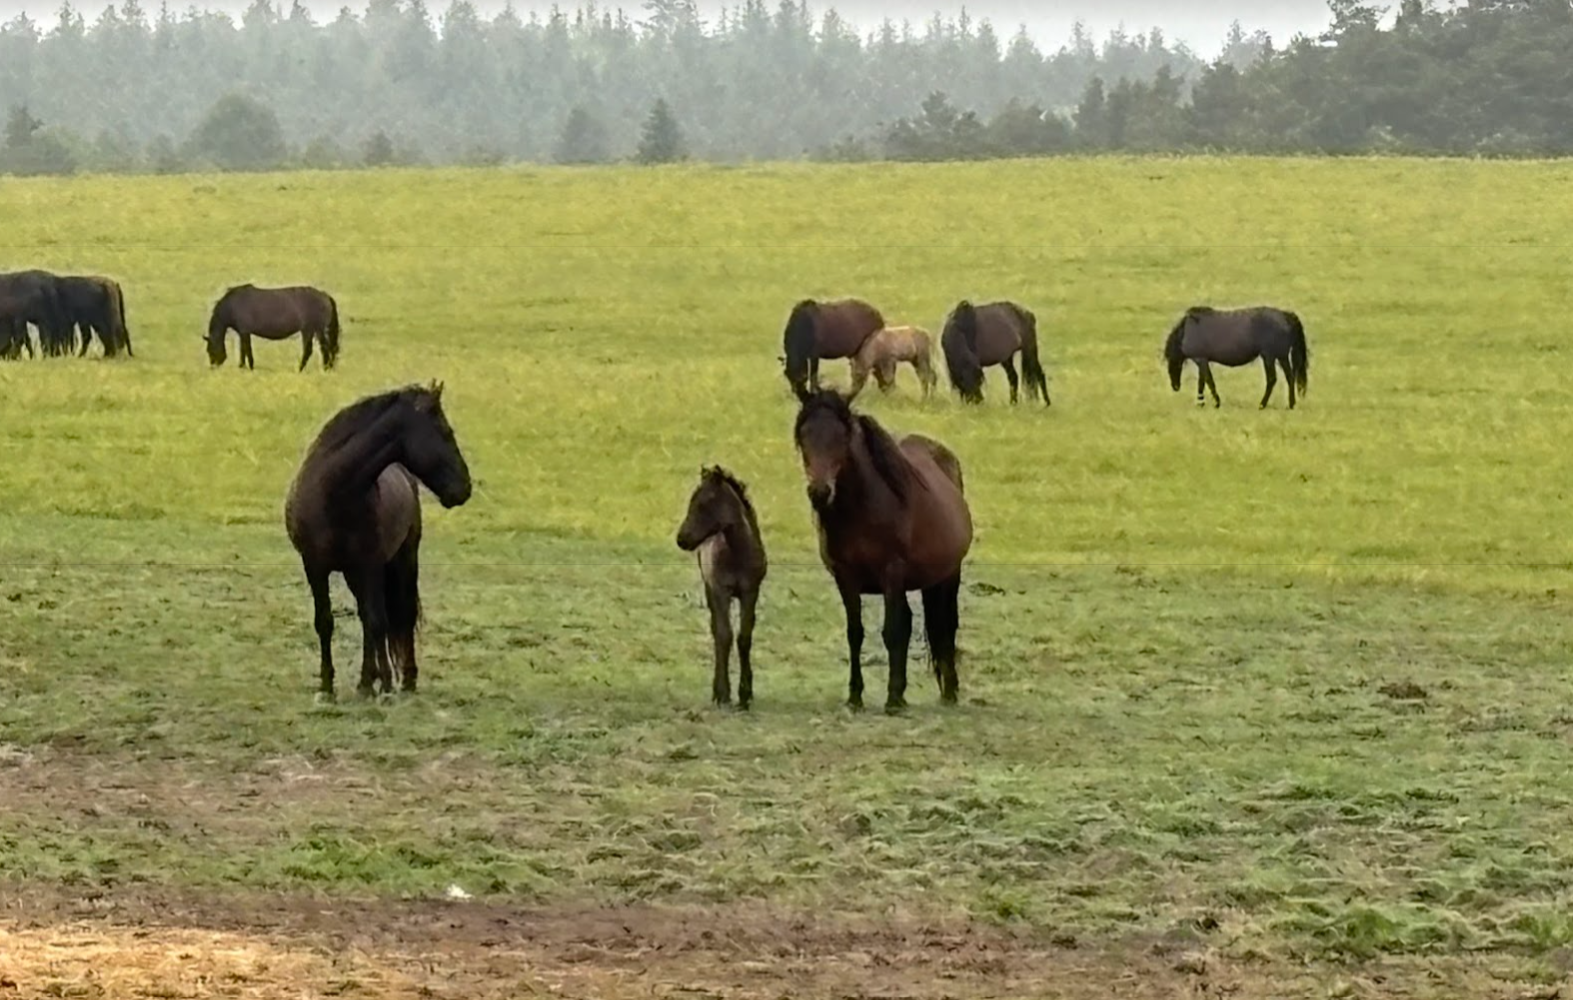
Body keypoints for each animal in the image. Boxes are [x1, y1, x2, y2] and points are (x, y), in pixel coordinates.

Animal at [204, 281, 339, 371]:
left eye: (209, 349)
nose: (213, 366)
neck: (232, 305)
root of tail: (324, 295)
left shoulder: (244, 331)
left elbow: (247, 350)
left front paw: (250, 367)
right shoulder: (243, 333)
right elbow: (243, 350)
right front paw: (242, 367)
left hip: (311, 329)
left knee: (314, 349)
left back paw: (307, 369)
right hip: (312, 330)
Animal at [286, 382, 471, 704]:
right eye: (446, 432)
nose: (465, 488)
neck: (334, 492)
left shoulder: (369, 565)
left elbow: (377, 622)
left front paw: (381, 683)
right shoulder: (315, 567)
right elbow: (326, 622)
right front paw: (327, 687)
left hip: (403, 559)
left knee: (397, 616)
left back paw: (403, 680)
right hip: (355, 574)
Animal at [676, 465, 767, 710]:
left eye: (704, 503)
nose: (681, 539)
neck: (737, 553)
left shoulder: (750, 592)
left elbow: (744, 637)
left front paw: (745, 695)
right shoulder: (720, 591)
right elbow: (724, 635)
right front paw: (723, 693)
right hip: (710, 590)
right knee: (717, 630)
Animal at [799, 386, 968, 713]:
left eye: (842, 436)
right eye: (803, 436)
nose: (820, 492)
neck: (862, 509)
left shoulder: (892, 572)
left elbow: (892, 631)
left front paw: (892, 698)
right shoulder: (846, 577)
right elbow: (856, 633)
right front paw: (855, 696)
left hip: (948, 574)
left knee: (946, 626)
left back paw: (949, 692)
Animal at [1164, 308, 1308, 408]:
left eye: (1174, 363)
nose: (1175, 386)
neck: (1188, 331)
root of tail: (1285, 315)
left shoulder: (1200, 359)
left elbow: (1208, 381)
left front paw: (1212, 402)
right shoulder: (1202, 360)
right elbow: (1204, 381)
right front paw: (1205, 402)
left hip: (1270, 356)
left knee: (1272, 379)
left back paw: (1262, 404)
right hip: (1281, 356)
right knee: (1290, 378)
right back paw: (1291, 404)